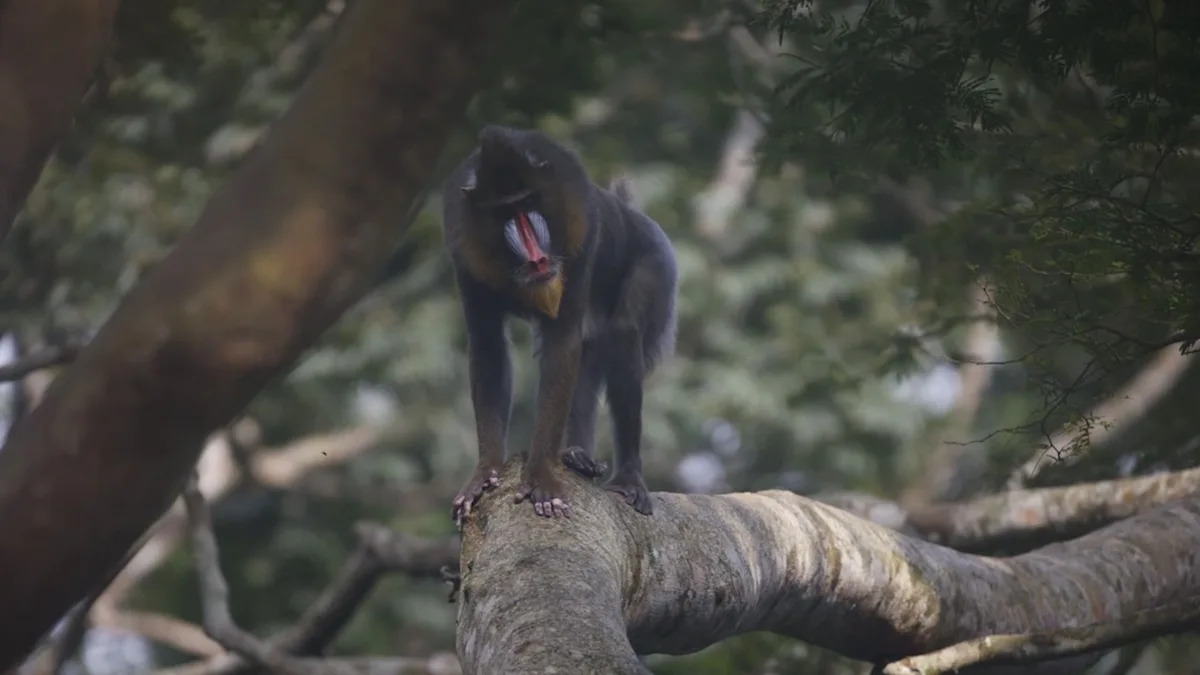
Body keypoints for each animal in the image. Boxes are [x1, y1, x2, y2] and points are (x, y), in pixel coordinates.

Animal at [441, 125, 678, 524]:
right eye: (504, 211)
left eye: (530, 202)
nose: (537, 257)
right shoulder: (466, 257)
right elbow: (489, 347)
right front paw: (484, 473)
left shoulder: (583, 233)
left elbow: (562, 342)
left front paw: (541, 478)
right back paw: (575, 455)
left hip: (655, 264)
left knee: (622, 335)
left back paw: (627, 478)